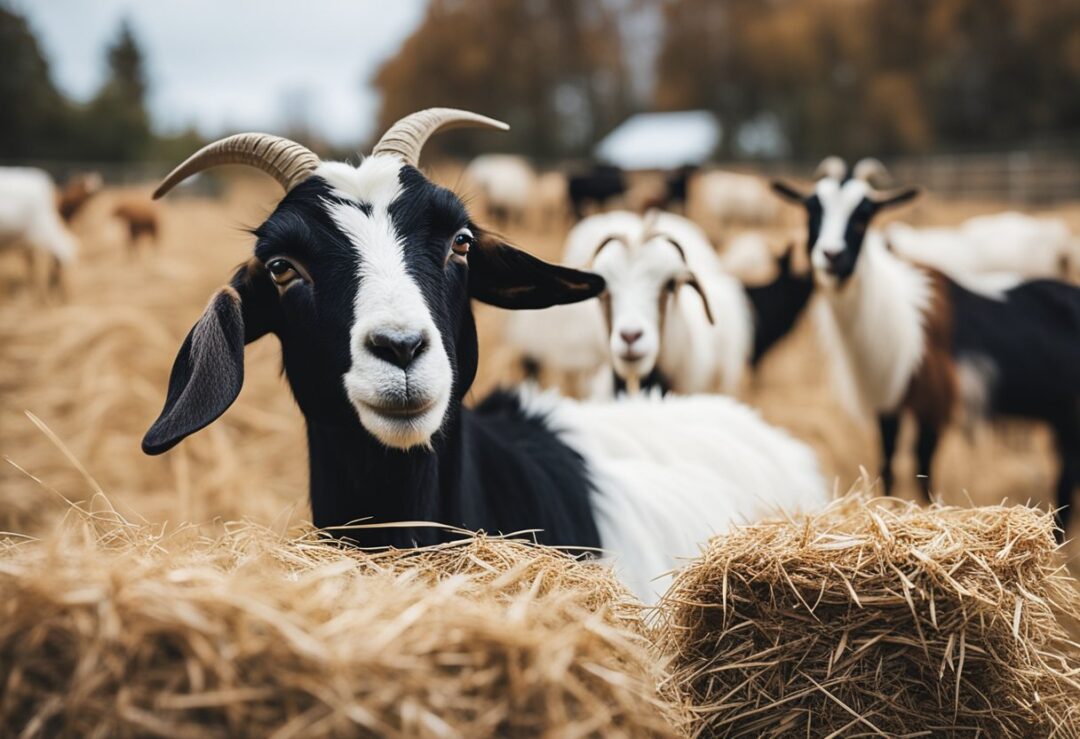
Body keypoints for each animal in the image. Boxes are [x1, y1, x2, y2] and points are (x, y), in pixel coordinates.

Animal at [773, 157, 1080, 539]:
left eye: (864, 214)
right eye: (811, 210)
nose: (832, 256)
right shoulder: (889, 404)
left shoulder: (933, 405)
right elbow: (888, 466)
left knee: (1067, 480)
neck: (901, 316)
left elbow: (923, 474)